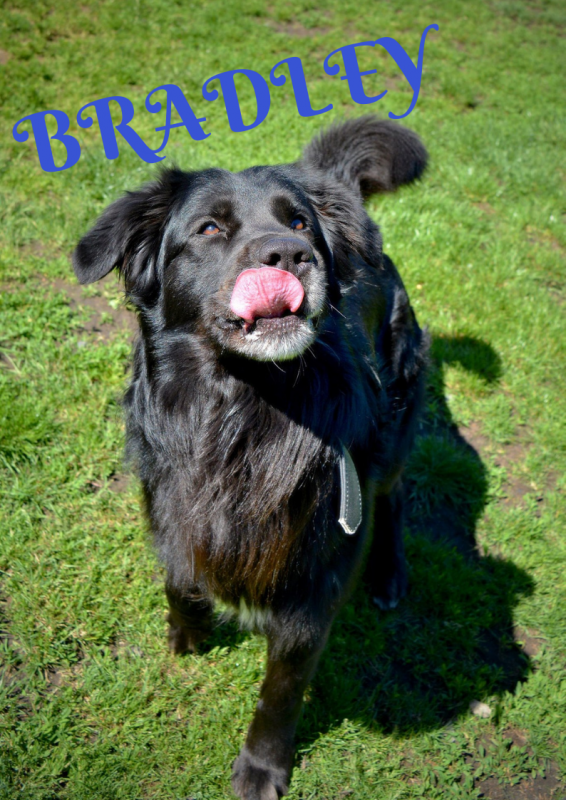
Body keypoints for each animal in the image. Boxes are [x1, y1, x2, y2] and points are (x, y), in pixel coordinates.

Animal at [73, 115, 429, 800]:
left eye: (300, 225)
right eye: (210, 229)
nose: (290, 256)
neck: (241, 414)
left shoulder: (314, 580)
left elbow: (282, 689)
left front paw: (263, 766)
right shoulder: (170, 499)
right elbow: (179, 574)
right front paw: (187, 632)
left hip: (394, 421)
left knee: (395, 491)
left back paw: (392, 575)